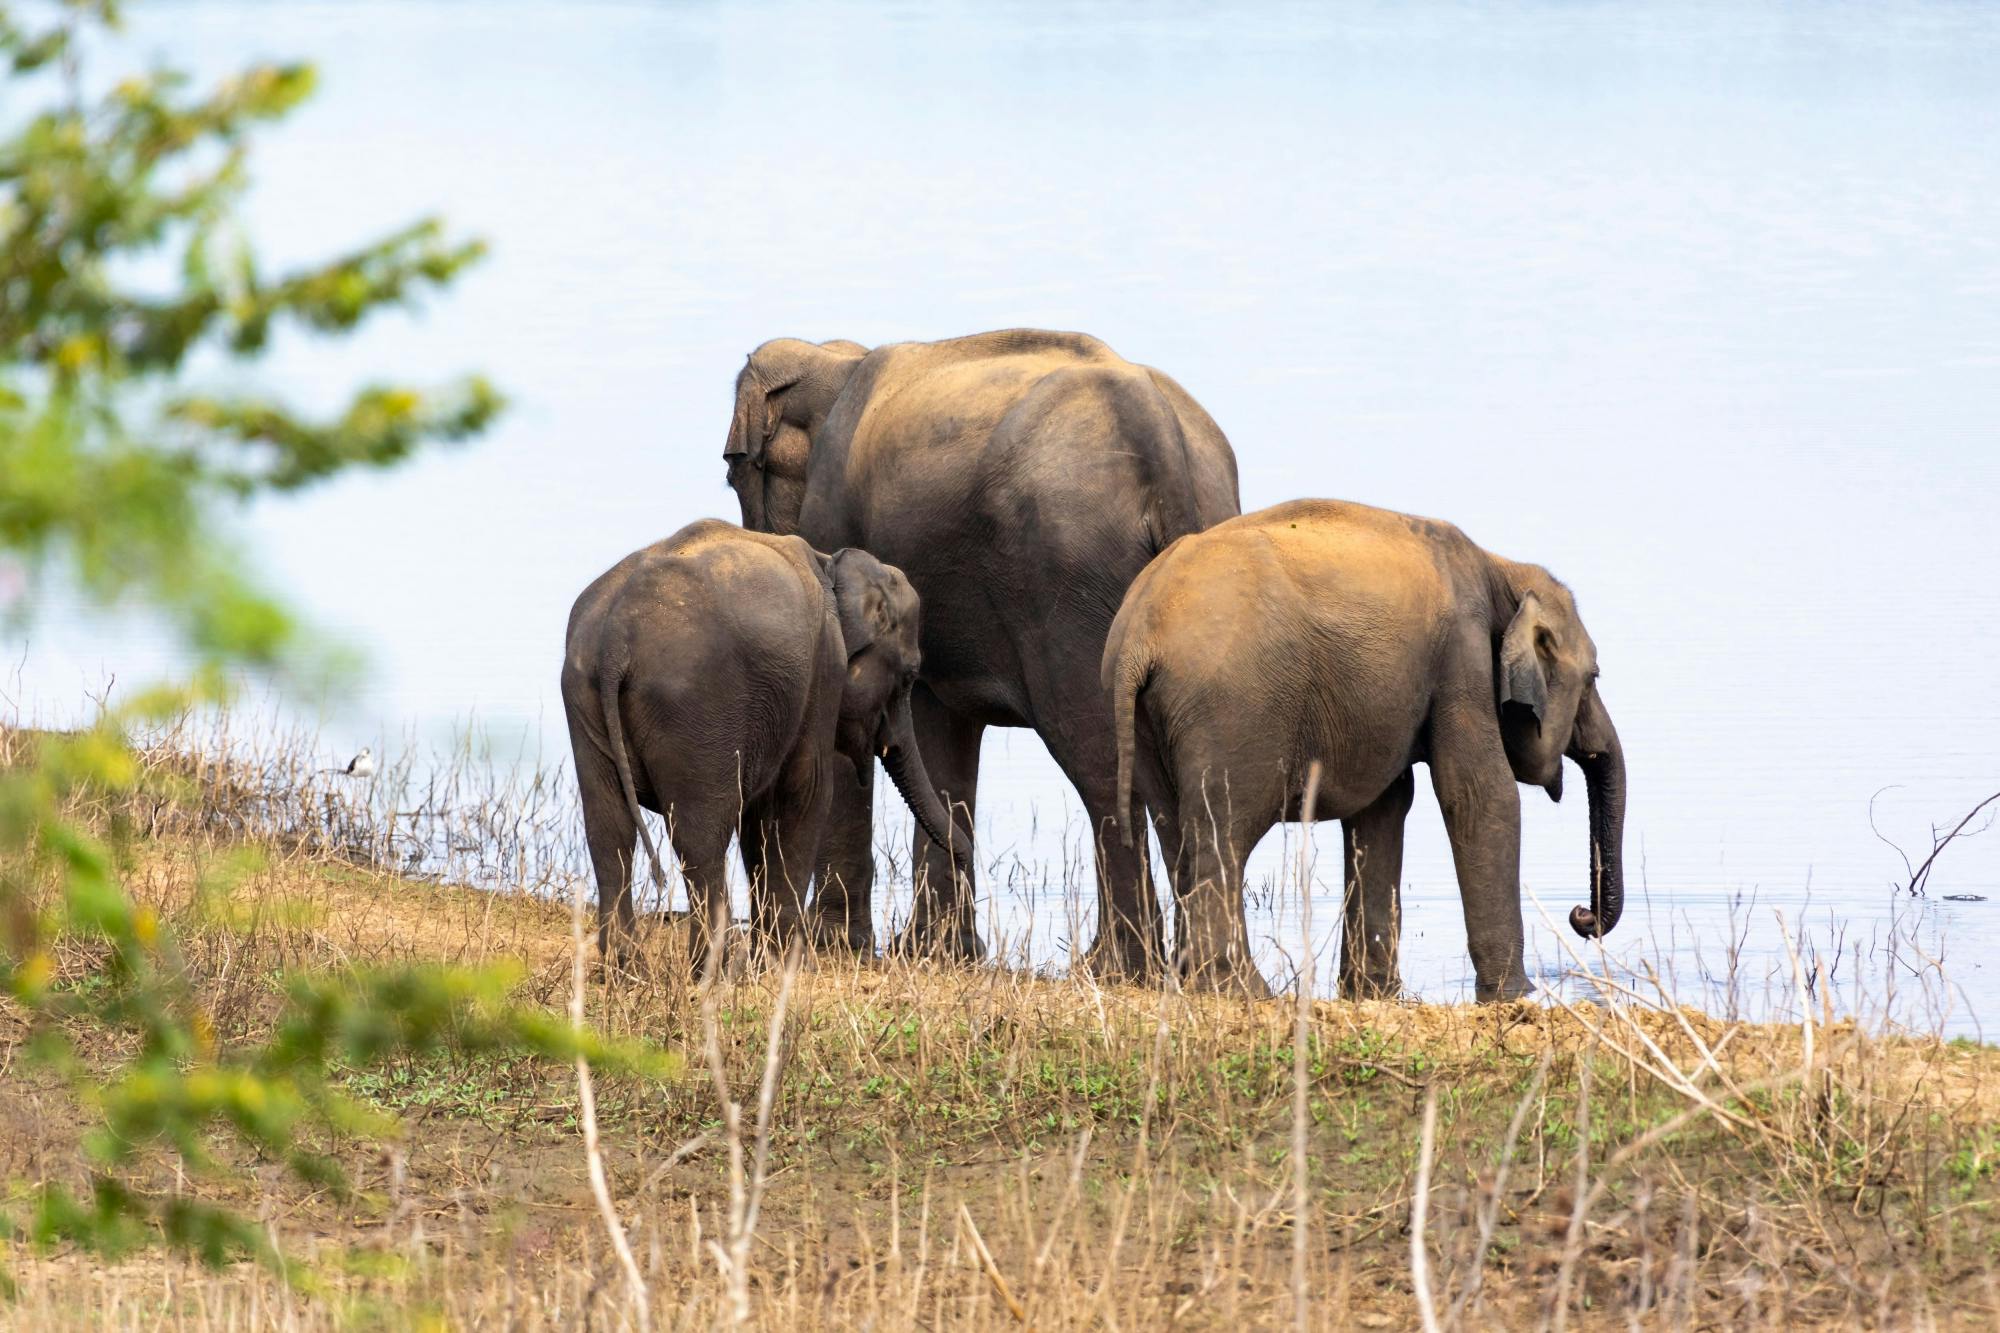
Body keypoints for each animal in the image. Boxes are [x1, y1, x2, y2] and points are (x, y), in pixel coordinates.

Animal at [564, 512, 968, 972]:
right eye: (910, 675)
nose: (962, 862)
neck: (832, 563)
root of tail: (616, 635)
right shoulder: (823, 669)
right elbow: (806, 793)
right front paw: (785, 964)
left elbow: (758, 817)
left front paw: (767, 960)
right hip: (695, 707)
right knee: (699, 834)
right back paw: (711, 968)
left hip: (583, 695)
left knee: (608, 828)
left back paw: (626, 966)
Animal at [728, 326, 1240, 972]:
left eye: (734, 474)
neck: (835, 359)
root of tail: (1157, 431)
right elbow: (939, 732)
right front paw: (937, 952)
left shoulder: (835, 517)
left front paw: (841, 947)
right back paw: (1174, 966)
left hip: (1068, 588)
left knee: (1100, 761)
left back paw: (1113, 965)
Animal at [1104, 496, 1632, 996]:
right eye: (1594, 677)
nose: (1581, 915)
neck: (1501, 568)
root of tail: (1138, 634)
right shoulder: (1461, 659)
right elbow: (1480, 796)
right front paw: (1515, 994)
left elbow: (1384, 807)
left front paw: (1372, 991)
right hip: (1230, 711)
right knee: (1223, 836)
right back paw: (1240, 989)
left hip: (1149, 721)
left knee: (1178, 833)